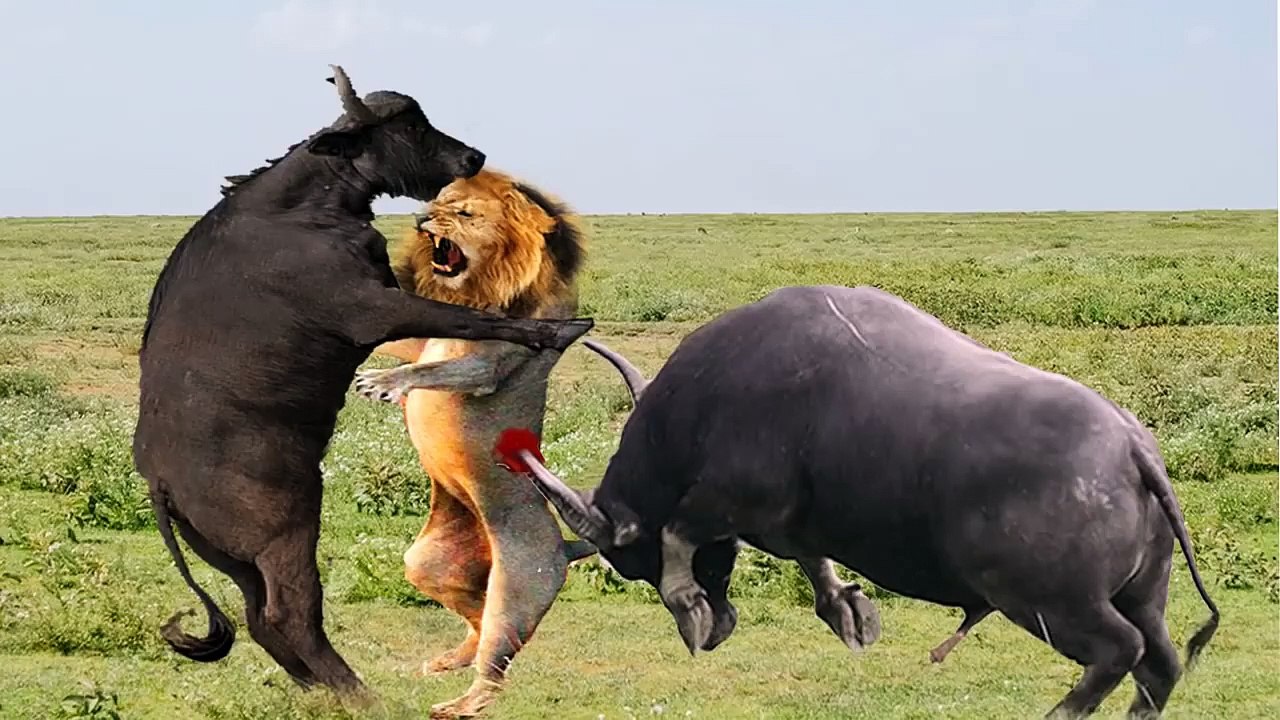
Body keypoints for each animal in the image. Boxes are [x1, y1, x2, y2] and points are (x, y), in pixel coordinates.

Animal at [354, 168, 594, 719]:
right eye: (437, 202)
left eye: (464, 213)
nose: (421, 220)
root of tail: (564, 545)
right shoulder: (424, 338)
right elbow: (408, 344)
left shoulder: (490, 364)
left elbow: (433, 370)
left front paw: (382, 383)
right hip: (427, 563)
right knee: (477, 621)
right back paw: (447, 661)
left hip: (518, 583)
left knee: (497, 658)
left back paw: (459, 704)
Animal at [497, 284, 1218, 719]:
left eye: (632, 558)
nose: (722, 623)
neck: (701, 409)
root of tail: (1132, 447)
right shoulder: (786, 524)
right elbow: (814, 566)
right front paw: (848, 611)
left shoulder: (725, 499)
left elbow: (681, 530)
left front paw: (690, 610)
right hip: (1144, 593)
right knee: (1160, 662)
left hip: (1050, 603)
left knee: (1119, 652)